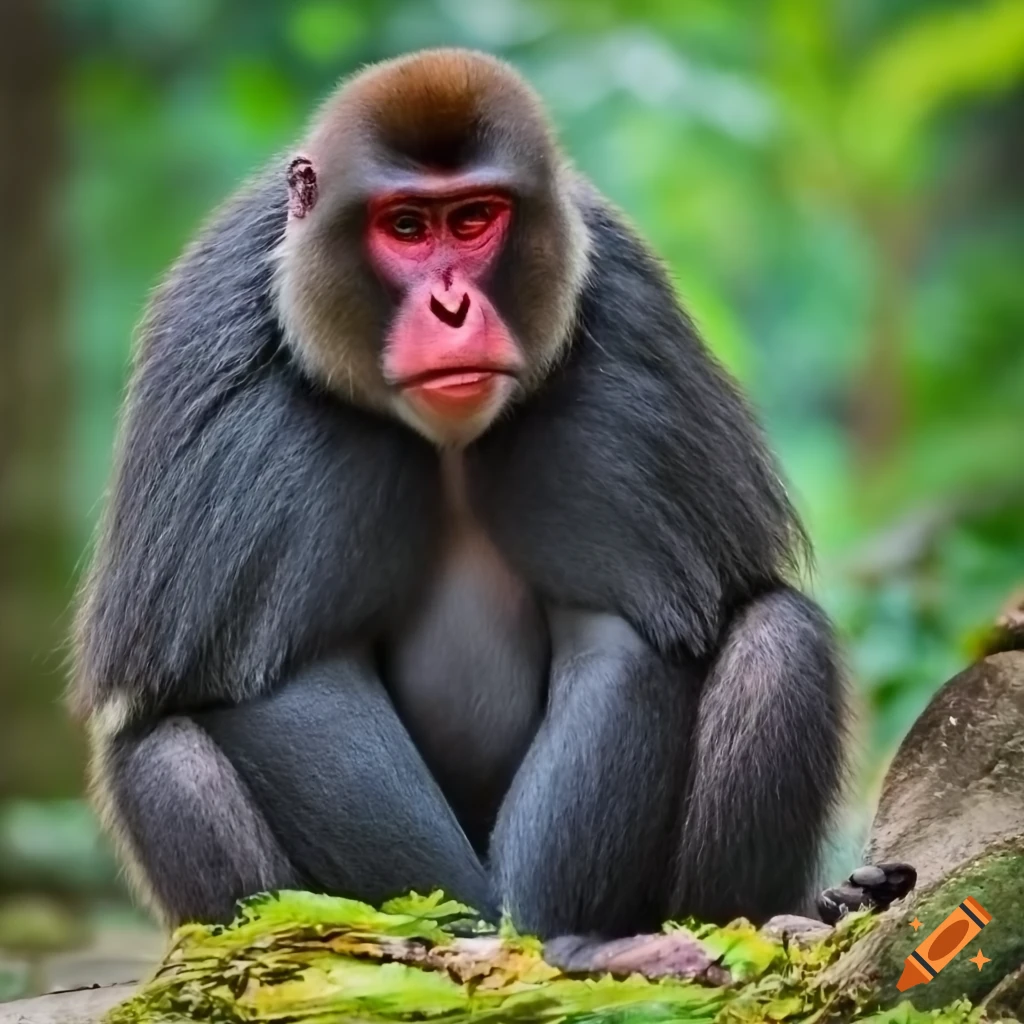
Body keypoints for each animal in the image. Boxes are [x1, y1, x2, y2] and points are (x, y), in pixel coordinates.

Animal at [72, 48, 913, 937]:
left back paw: (775, 915)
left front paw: (533, 922)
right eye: (407, 226)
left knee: (780, 639)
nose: (451, 307)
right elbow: (284, 678)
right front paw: (452, 924)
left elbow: (618, 627)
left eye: (475, 219)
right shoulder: (223, 343)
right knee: (158, 751)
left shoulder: (624, 310)